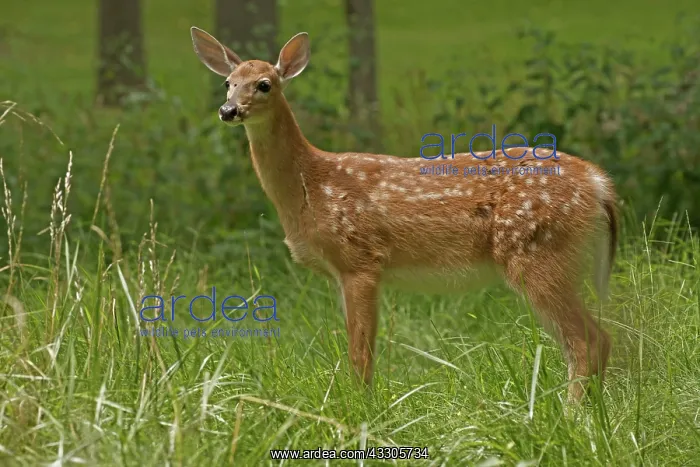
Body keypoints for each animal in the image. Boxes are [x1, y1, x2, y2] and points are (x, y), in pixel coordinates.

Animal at [189, 26, 618, 402]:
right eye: (228, 81)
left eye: (264, 84)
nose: (228, 110)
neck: (311, 185)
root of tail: (599, 183)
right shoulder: (341, 273)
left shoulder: (360, 259)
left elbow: (361, 355)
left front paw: (362, 409)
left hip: (538, 251)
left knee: (588, 340)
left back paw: (571, 416)